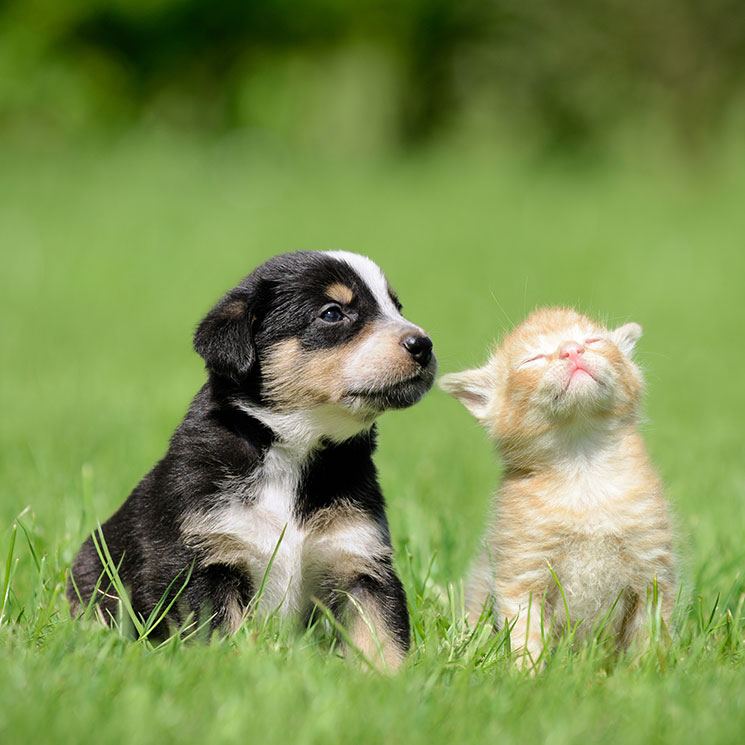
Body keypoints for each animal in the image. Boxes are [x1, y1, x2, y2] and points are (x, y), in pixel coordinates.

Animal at [68, 250, 436, 668]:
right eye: (331, 313)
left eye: (396, 307)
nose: (423, 344)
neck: (292, 453)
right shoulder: (203, 559)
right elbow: (221, 632)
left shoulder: (359, 558)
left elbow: (381, 636)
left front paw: (390, 679)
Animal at [438, 306, 676, 664]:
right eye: (533, 359)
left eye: (593, 341)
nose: (572, 350)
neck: (583, 470)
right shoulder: (521, 575)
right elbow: (525, 637)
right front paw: (527, 673)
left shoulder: (652, 571)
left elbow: (651, 639)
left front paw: (649, 673)